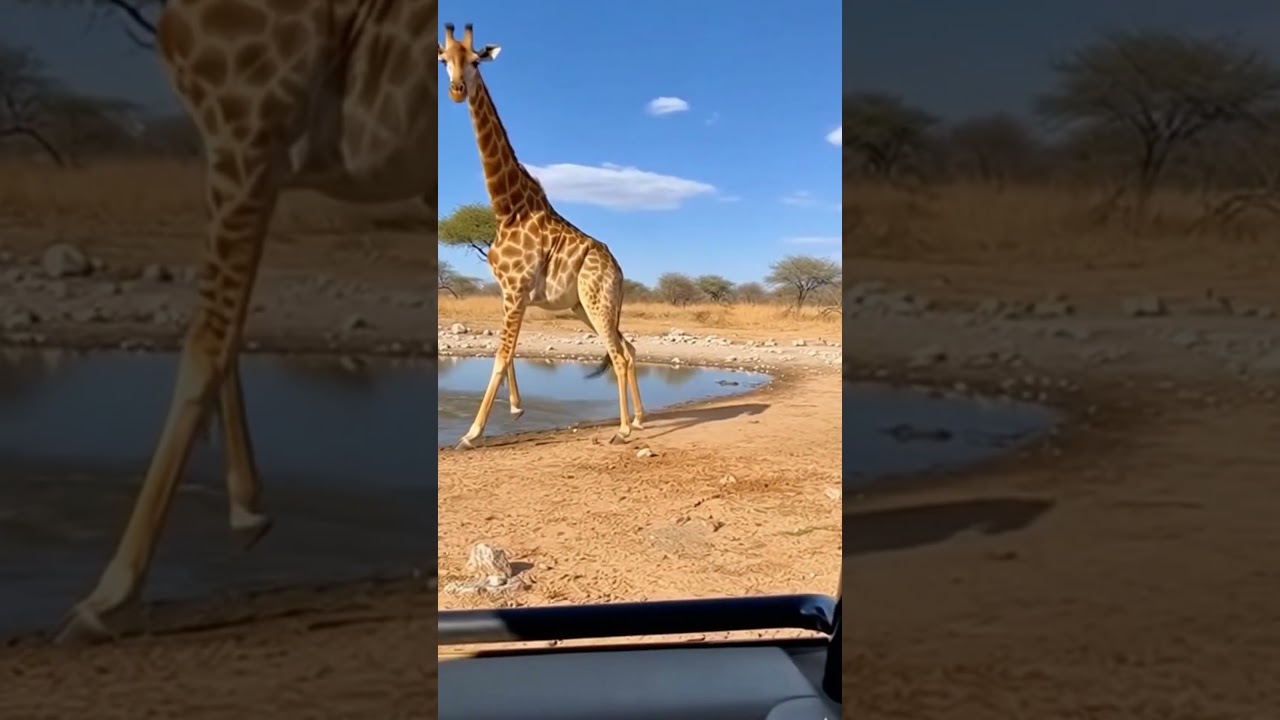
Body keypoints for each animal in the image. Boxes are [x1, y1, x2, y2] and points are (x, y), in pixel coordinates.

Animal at [56, 0, 439, 643]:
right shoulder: (254, 155)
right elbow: (230, 334)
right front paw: (248, 509)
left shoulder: (244, 138)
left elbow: (205, 343)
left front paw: (107, 596)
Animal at [439, 23, 645, 451]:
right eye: (443, 59)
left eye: (475, 61)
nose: (456, 90)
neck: (507, 208)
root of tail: (618, 269)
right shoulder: (510, 291)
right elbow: (510, 351)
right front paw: (517, 408)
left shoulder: (516, 290)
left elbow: (501, 356)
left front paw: (471, 433)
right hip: (585, 307)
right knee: (629, 348)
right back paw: (638, 418)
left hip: (597, 302)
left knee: (618, 355)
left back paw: (622, 429)